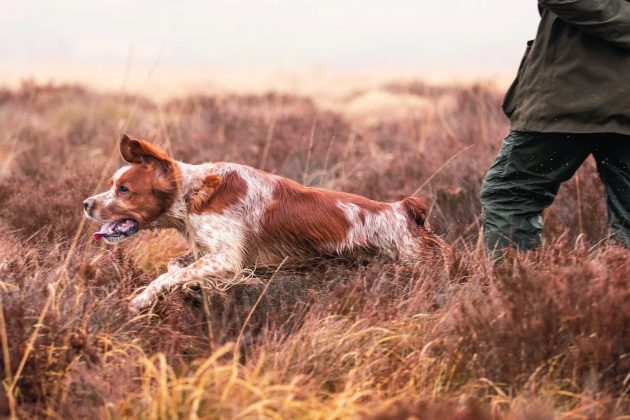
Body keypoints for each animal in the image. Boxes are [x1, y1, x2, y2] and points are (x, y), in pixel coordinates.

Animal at [84, 135, 446, 312]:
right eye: (113, 184)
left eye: (123, 189)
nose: (86, 204)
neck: (194, 194)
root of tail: (404, 210)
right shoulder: (210, 252)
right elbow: (176, 266)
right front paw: (192, 286)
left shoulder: (226, 257)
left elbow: (165, 276)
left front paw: (142, 299)